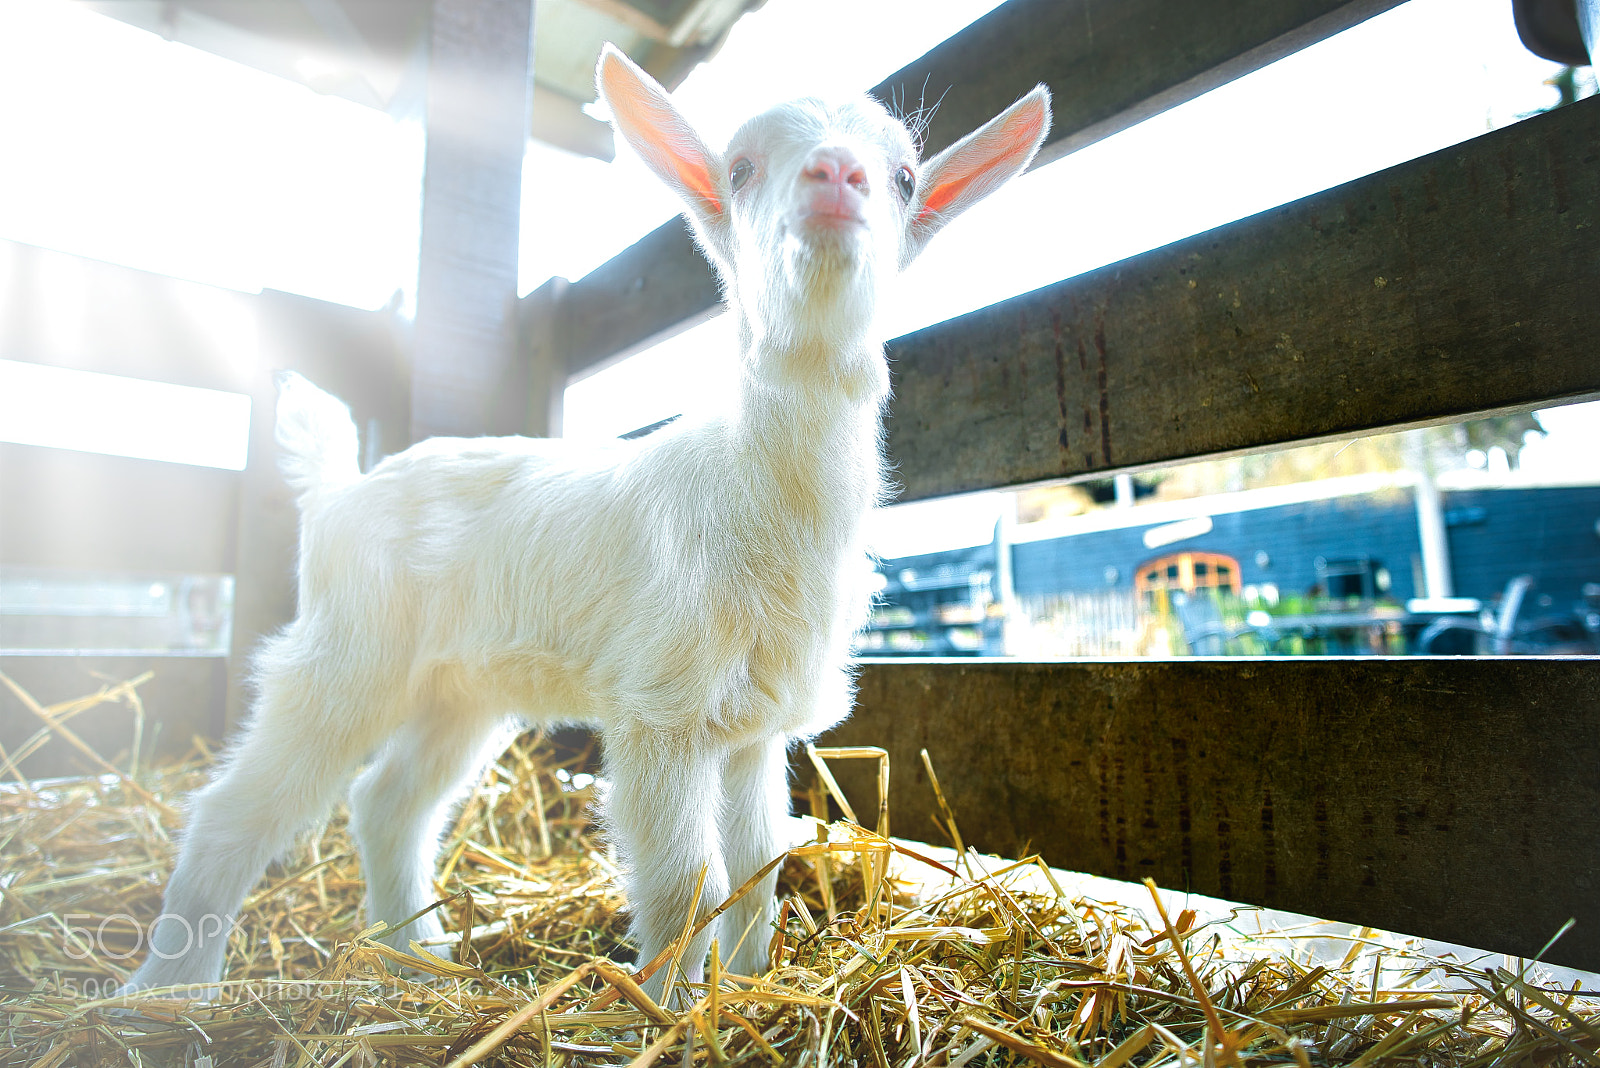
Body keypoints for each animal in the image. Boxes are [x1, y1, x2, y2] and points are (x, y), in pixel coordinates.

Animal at [120, 45, 1050, 1001]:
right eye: (741, 168)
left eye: (905, 177)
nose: (837, 175)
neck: (759, 496)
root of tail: (336, 490)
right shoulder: (659, 710)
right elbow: (687, 880)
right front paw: (671, 1003)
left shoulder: (756, 728)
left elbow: (759, 869)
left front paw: (750, 983)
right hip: (348, 653)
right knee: (237, 804)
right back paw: (169, 985)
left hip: (459, 689)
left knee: (388, 801)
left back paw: (415, 951)